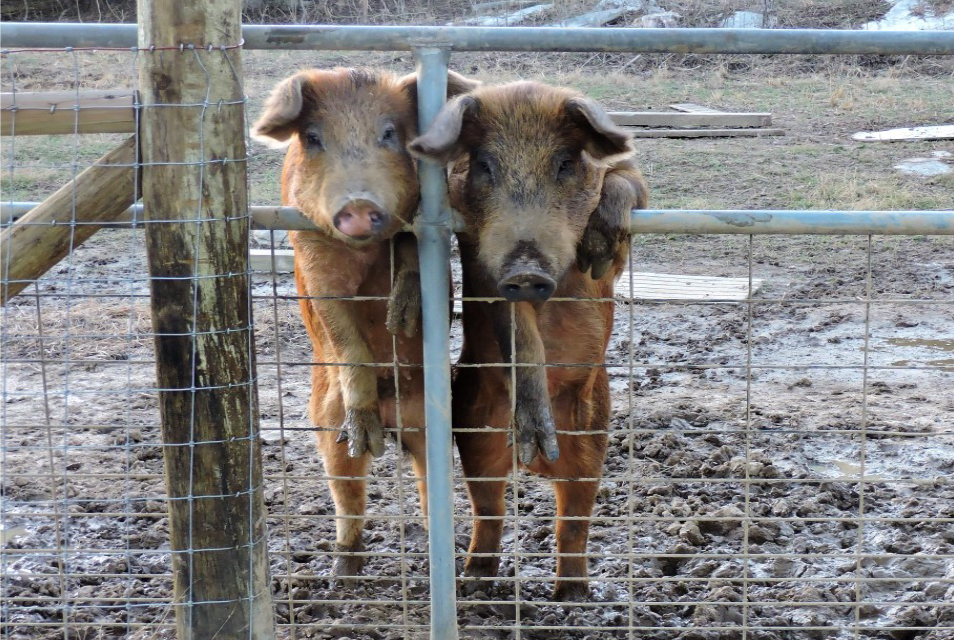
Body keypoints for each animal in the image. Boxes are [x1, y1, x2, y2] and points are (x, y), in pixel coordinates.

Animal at [251, 67, 476, 584]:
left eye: (390, 133)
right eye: (314, 137)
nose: (356, 204)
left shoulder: (423, 219)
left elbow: (413, 250)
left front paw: (402, 316)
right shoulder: (311, 251)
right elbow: (340, 326)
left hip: (434, 421)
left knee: (431, 487)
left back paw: (445, 561)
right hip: (324, 420)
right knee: (346, 486)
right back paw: (343, 569)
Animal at [410, 80, 648, 600]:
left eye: (564, 163)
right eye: (484, 165)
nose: (526, 268)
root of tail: (535, 469)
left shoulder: (631, 183)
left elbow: (624, 186)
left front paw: (596, 251)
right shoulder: (484, 262)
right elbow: (518, 331)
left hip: (594, 441)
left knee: (572, 521)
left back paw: (573, 597)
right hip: (473, 431)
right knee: (491, 509)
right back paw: (474, 583)